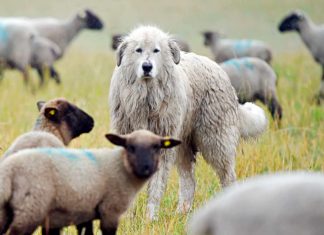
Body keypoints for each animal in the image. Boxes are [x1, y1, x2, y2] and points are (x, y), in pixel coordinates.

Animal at [0, 129, 182, 234]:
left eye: (157, 147)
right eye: (130, 147)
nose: (146, 168)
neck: (120, 166)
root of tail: (9, 169)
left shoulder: (87, 211)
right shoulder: (110, 210)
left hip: (7, 211)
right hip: (30, 209)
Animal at [110, 25, 268, 220]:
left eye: (156, 50)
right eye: (138, 50)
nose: (147, 67)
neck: (146, 98)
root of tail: (219, 69)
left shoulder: (160, 148)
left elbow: (156, 186)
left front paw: (150, 219)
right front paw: (126, 217)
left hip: (216, 141)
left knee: (228, 176)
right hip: (183, 146)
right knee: (189, 181)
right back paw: (182, 212)